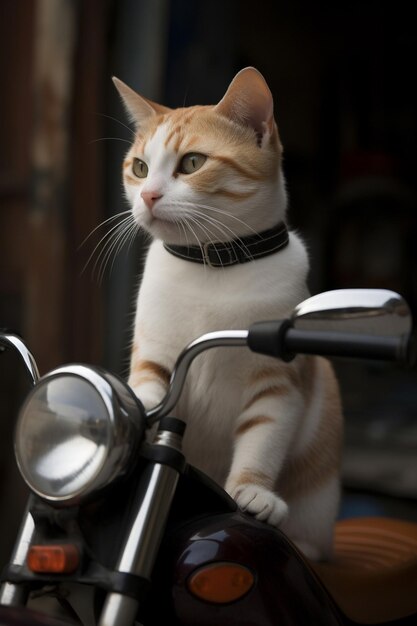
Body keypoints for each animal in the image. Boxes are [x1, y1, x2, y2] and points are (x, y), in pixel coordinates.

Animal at [113, 68, 342, 560]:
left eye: (192, 163)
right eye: (139, 168)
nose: (148, 195)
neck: (212, 266)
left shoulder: (278, 383)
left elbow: (263, 438)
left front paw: (252, 492)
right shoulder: (155, 360)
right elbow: (146, 393)